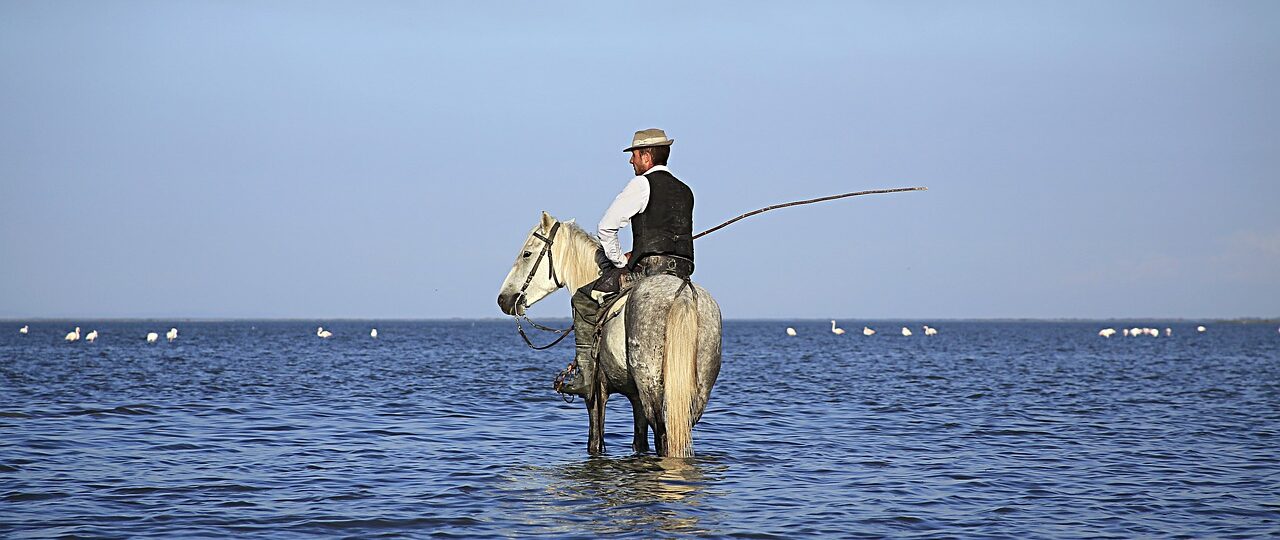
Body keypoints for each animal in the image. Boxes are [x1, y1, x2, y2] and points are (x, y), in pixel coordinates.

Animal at [496, 212, 721, 458]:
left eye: (527, 254)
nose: (503, 299)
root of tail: (682, 293)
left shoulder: (596, 394)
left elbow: (595, 441)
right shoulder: (636, 399)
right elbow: (639, 443)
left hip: (653, 390)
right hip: (694, 396)